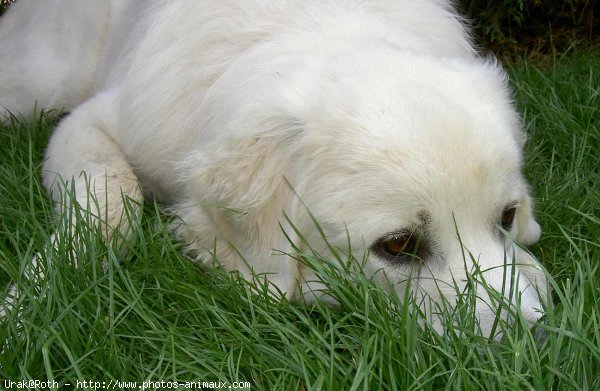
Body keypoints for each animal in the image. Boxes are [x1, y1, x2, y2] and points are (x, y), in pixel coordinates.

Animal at [0, 0, 548, 336]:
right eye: (397, 247)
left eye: (505, 217)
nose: (534, 345)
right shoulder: (91, 123)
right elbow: (113, 201)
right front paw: (30, 300)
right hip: (38, 87)